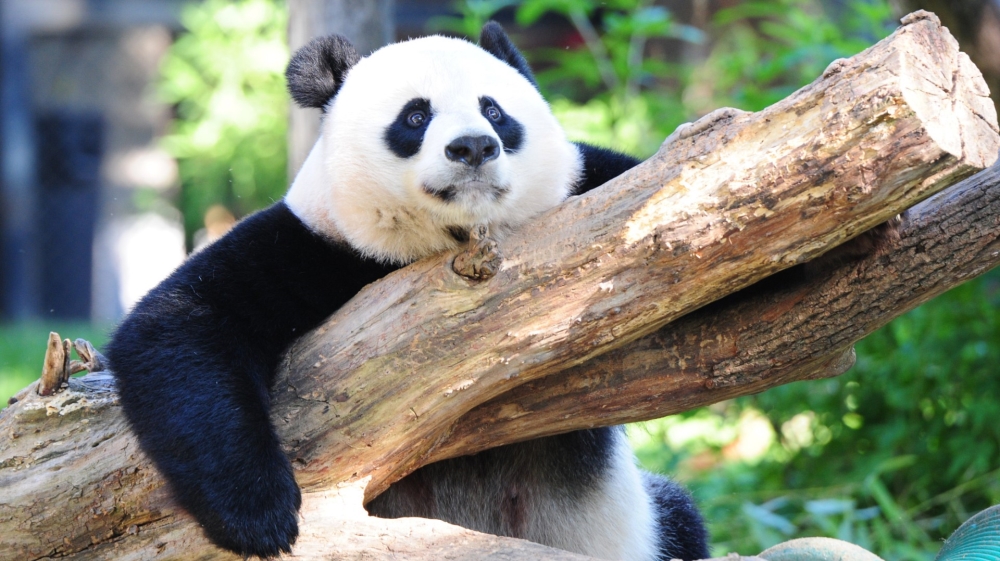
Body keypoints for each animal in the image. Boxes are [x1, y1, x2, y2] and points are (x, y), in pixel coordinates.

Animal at [106, 22, 709, 561]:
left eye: (494, 111)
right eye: (416, 116)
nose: (473, 147)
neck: (451, 240)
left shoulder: (592, 188)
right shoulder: (314, 246)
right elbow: (180, 325)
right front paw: (259, 515)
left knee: (681, 516)